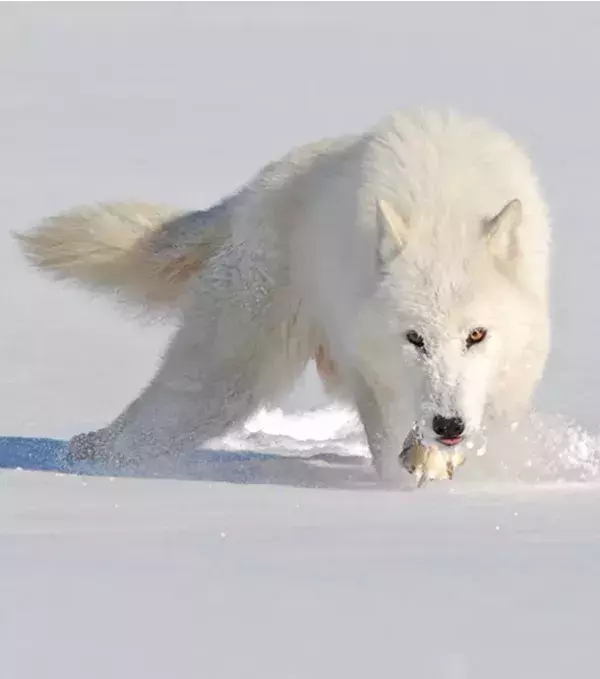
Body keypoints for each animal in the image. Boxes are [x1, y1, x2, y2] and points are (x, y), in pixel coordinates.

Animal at [15, 109, 551, 486]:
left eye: (476, 335)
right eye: (414, 338)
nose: (448, 424)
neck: (442, 210)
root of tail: (253, 191)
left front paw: (437, 461)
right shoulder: (370, 369)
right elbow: (392, 434)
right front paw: (418, 465)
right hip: (226, 383)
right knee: (142, 427)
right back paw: (82, 458)